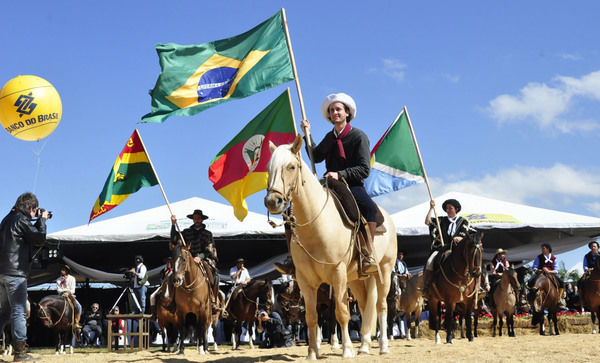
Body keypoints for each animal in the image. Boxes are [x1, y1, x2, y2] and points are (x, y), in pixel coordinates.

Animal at [264, 136, 396, 362]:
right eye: (268, 168)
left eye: (291, 166)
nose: (273, 201)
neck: (316, 226)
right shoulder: (306, 281)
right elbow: (311, 317)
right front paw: (312, 352)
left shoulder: (337, 274)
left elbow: (342, 313)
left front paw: (347, 350)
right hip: (356, 279)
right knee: (364, 306)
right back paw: (364, 346)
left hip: (384, 271)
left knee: (381, 306)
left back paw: (383, 346)